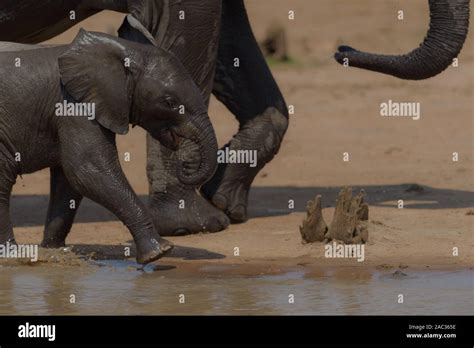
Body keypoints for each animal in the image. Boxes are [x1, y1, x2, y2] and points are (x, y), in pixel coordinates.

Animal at [0, 29, 218, 264]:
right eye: (169, 102)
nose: (184, 164)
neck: (126, 51)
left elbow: (68, 181)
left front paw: (54, 251)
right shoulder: (74, 106)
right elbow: (89, 170)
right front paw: (159, 252)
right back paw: (11, 255)